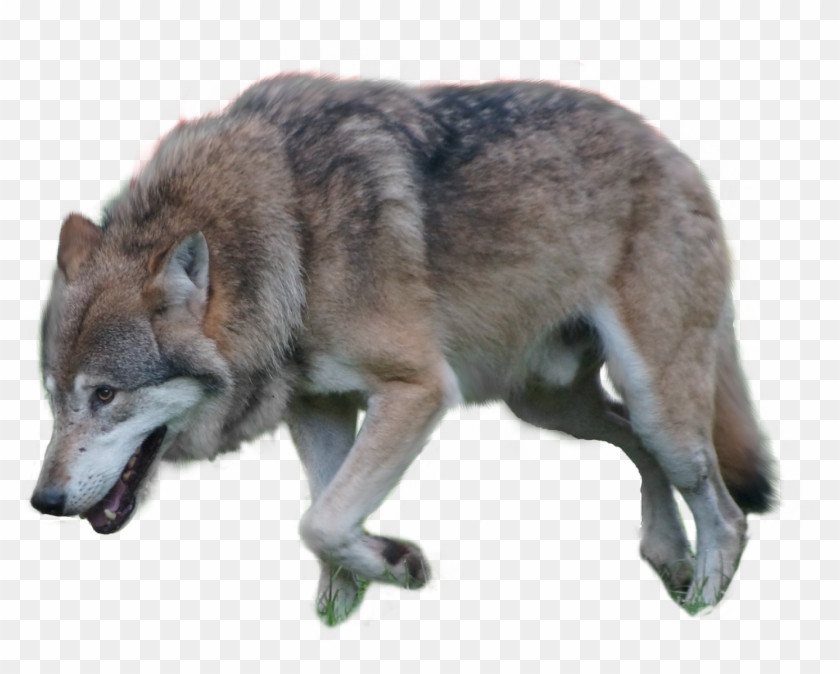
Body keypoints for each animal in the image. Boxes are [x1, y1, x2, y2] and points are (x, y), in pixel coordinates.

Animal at [32, 74, 776, 623]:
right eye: (55, 398)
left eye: (105, 394)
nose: (43, 501)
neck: (291, 241)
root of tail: (674, 151)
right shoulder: (319, 407)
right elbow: (325, 515)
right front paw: (342, 608)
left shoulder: (418, 388)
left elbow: (321, 521)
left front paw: (396, 563)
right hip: (551, 408)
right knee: (639, 449)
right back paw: (669, 557)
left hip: (654, 401)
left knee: (727, 512)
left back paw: (703, 603)